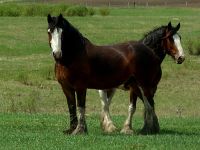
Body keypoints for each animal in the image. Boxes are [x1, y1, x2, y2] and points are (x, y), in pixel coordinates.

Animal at [47, 14, 184, 135]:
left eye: (62, 33)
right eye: (49, 31)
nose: (181, 57)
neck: (74, 56)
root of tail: (148, 51)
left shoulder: (81, 87)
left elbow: (81, 107)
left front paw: (80, 130)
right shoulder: (66, 87)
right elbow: (72, 106)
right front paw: (72, 129)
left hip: (142, 85)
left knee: (149, 104)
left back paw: (148, 128)